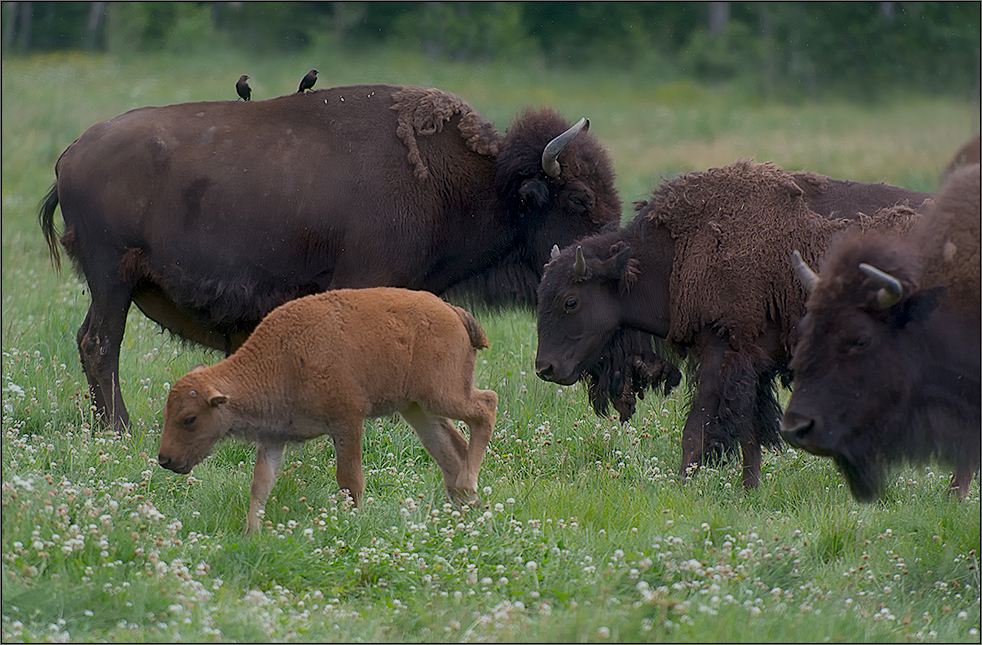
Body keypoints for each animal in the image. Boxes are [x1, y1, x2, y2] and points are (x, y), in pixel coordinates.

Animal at [40, 83, 624, 430]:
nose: (613, 255)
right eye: (579, 199)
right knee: (100, 342)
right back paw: (119, 427)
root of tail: (71, 154)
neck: (465, 185)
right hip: (113, 277)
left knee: (93, 340)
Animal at [162, 286, 504, 532]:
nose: (165, 459)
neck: (280, 360)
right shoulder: (273, 439)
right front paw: (251, 533)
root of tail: (453, 312)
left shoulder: (347, 422)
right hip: (418, 409)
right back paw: (466, 507)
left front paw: (352, 521)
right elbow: (260, 485)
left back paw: (468, 486)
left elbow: (350, 480)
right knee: (450, 448)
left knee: (486, 405)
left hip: (444, 396)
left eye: (189, 418)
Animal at [536, 160, 936, 488]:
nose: (545, 368)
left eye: (570, 301)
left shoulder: (723, 353)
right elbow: (750, 434)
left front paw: (682, 487)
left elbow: (697, 428)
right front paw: (749, 490)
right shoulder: (752, 363)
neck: (679, 251)